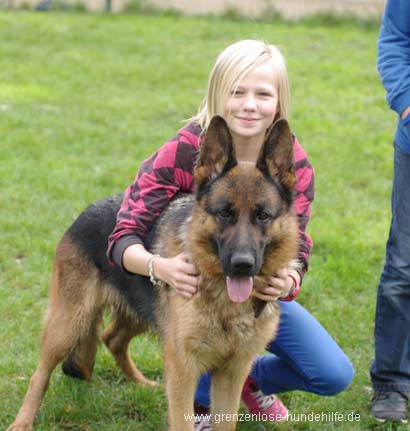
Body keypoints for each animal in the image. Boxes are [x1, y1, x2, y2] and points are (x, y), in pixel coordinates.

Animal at [8, 116, 298, 431]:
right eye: (224, 213)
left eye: (263, 216)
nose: (242, 264)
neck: (224, 302)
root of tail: (86, 211)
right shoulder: (184, 368)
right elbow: (182, 421)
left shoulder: (232, 372)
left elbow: (226, 421)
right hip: (70, 323)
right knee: (40, 374)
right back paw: (22, 422)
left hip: (142, 314)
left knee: (112, 338)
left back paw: (141, 383)